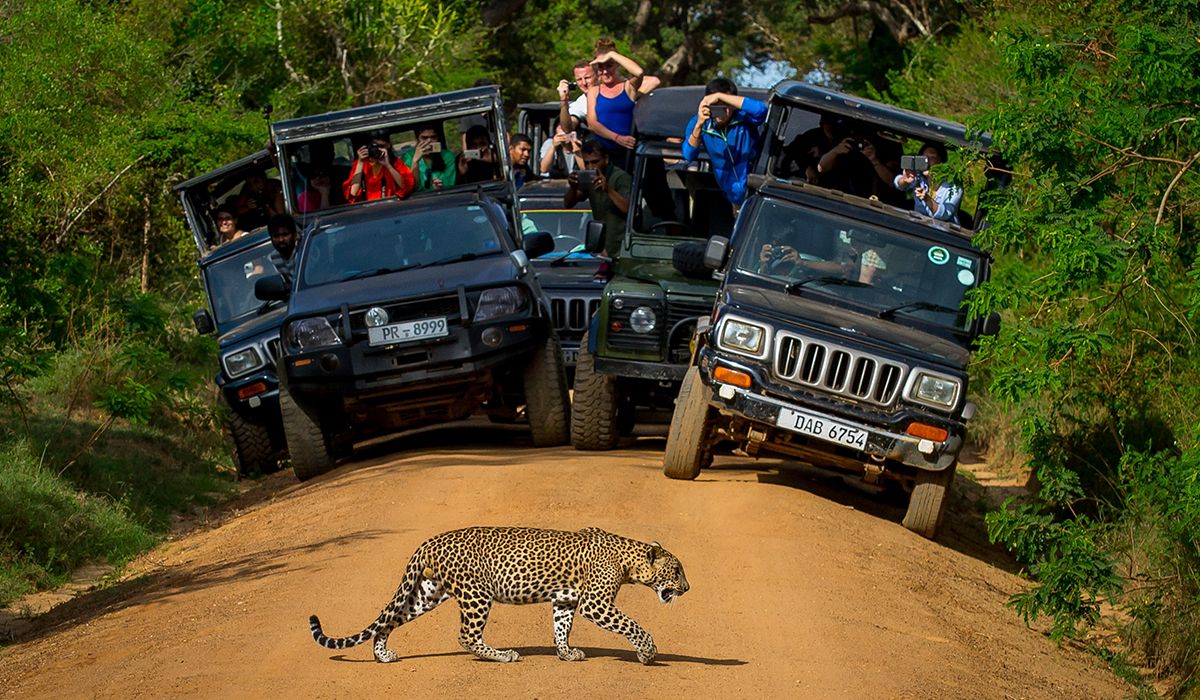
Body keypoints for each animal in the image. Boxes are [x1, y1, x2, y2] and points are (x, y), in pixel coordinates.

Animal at [308, 526, 689, 665]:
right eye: (677, 571)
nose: (688, 588)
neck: (629, 560)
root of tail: (430, 541)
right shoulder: (596, 604)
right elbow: (632, 626)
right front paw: (647, 653)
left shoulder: (565, 600)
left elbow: (561, 628)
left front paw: (566, 653)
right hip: (476, 594)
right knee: (466, 636)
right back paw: (503, 655)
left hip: (428, 593)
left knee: (390, 619)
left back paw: (383, 655)